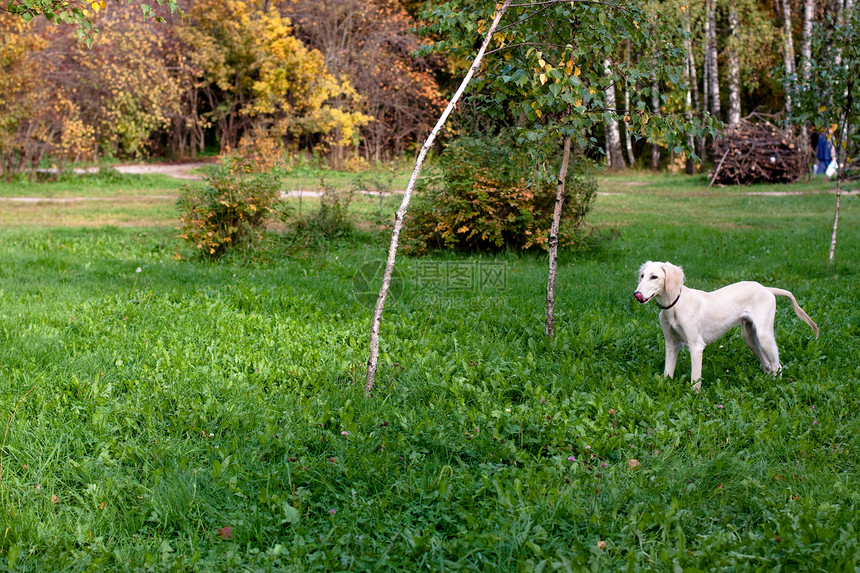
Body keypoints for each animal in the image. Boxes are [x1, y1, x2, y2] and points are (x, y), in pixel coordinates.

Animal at [632, 262, 820, 392]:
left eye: (654, 277)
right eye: (642, 275)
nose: (636, 294)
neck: (674, 306)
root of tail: (766, 288)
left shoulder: (696, 346)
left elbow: (695, 378)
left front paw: (695, 396)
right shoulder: (672, 344)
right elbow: (667, 373)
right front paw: (664, 388)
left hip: (764, 335)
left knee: (777, 366)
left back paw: (775, 387)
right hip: (750, 336)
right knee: (767, 365)